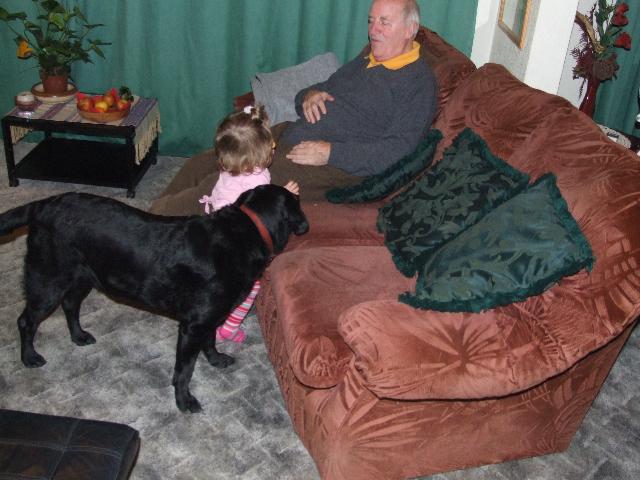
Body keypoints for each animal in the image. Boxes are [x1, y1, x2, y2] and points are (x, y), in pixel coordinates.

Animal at [0, 184, 308, 413]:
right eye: (297, 202)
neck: (247, 229)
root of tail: (43, 205)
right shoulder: (193, 325)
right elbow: (184, 369)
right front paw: (184, 401)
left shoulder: (209, 316)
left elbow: (210, 342)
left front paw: (216, 359)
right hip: (47, 280)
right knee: (27, 320)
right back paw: (29, 357)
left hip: (82, 276)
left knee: (70, 304)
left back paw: (79, 336)